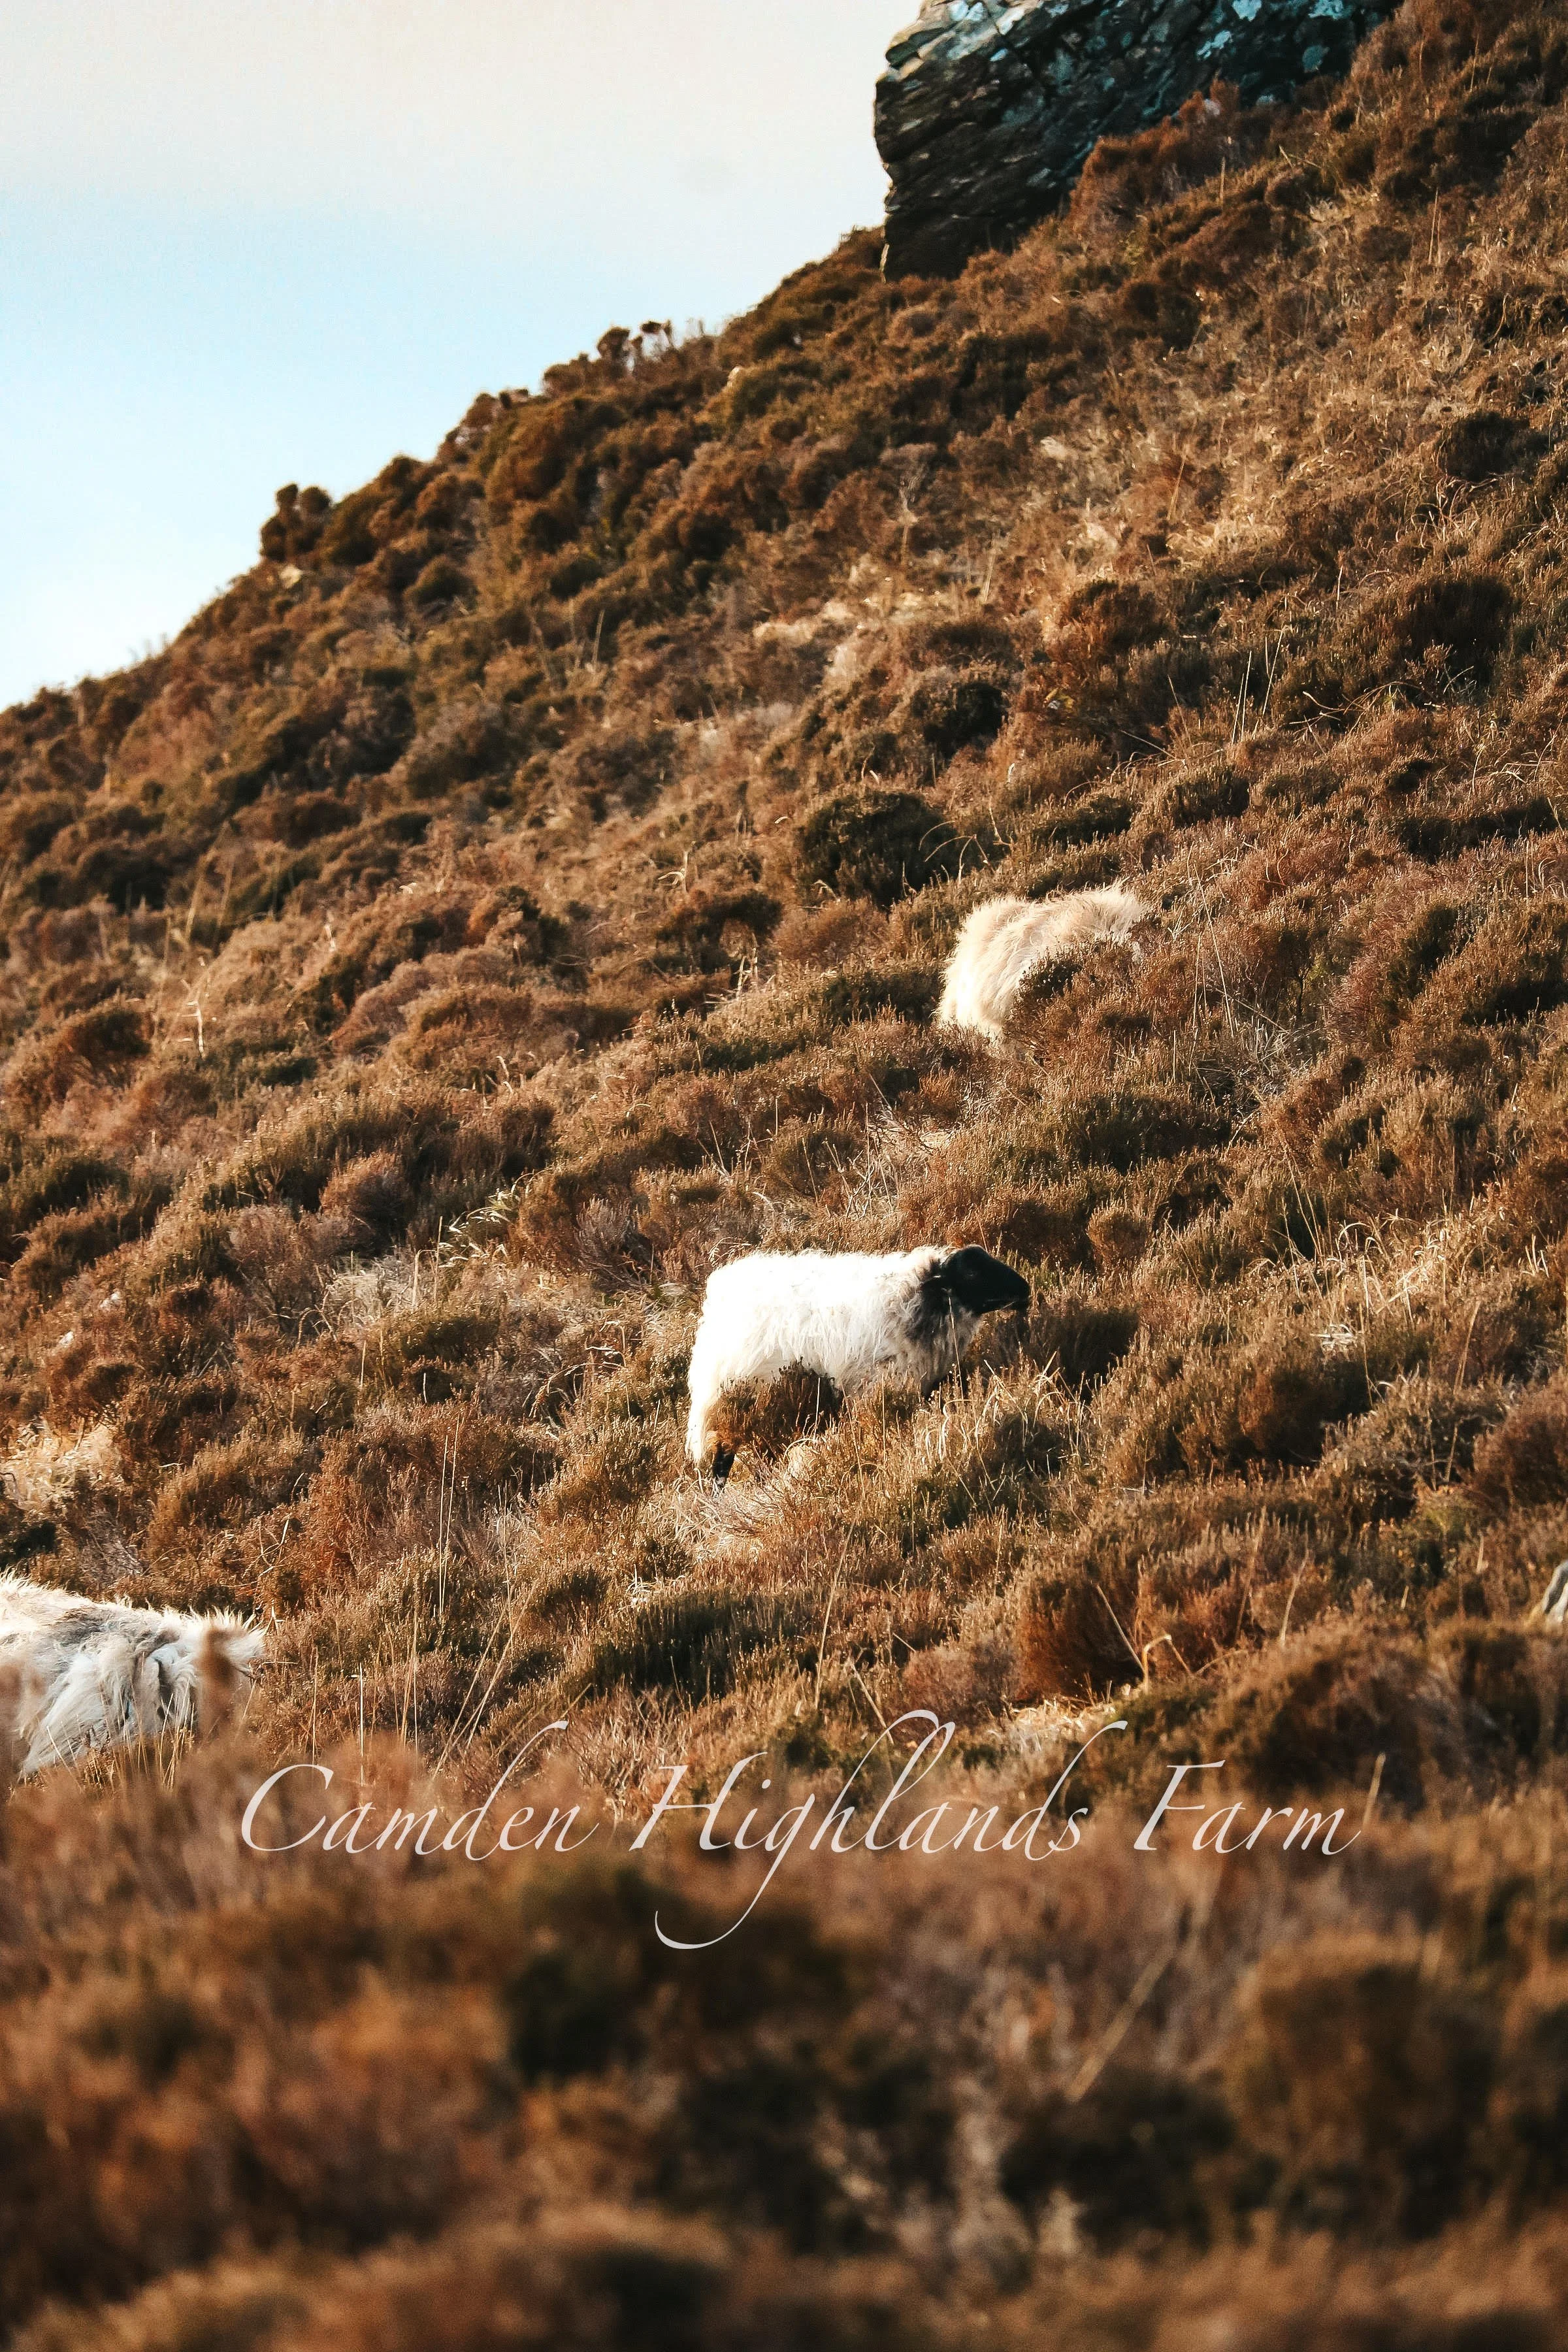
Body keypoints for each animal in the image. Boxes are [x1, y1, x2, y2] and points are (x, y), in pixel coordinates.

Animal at [686, 1244, 1031, 1481]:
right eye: (972, 1273)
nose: (1025, 1290)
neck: (918, 1301)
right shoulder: (875, 1385)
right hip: (737, 1397)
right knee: (723, 1457)